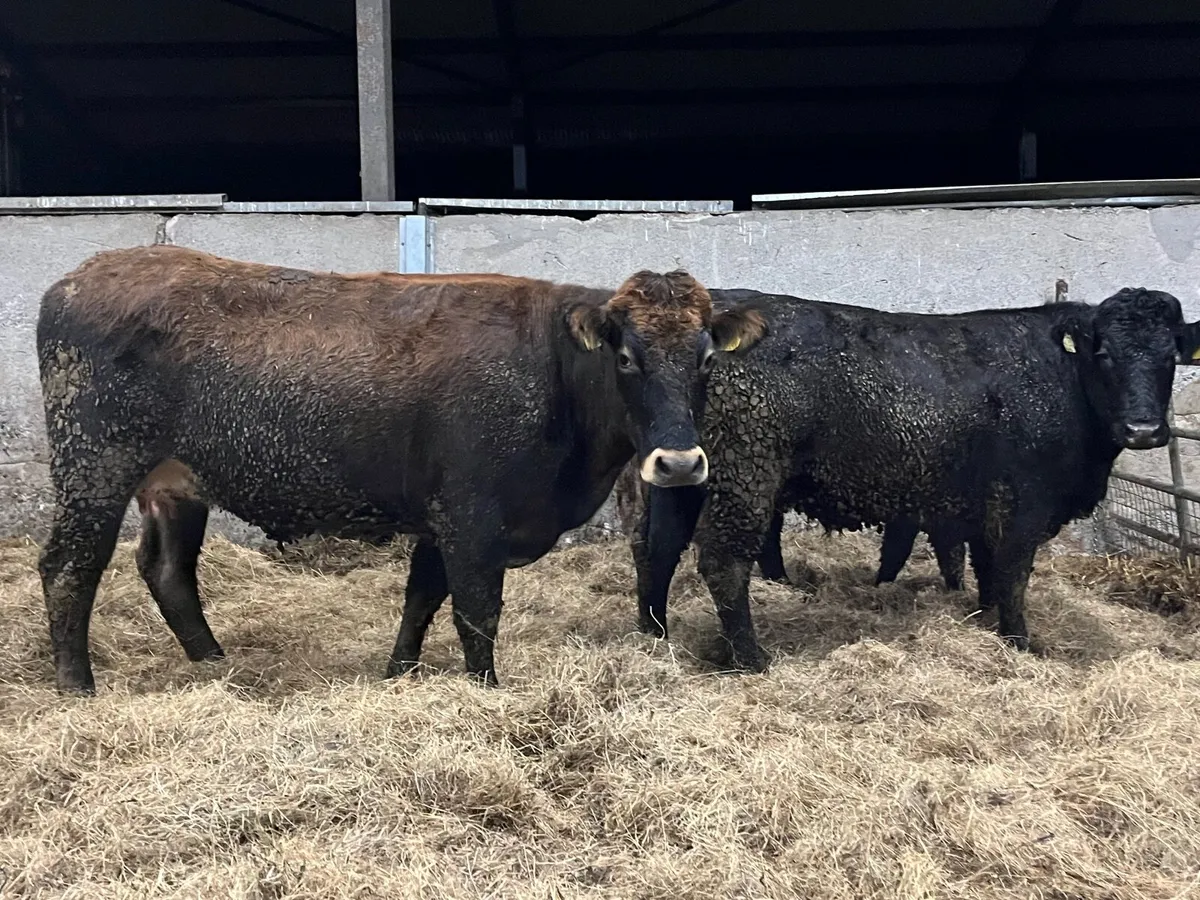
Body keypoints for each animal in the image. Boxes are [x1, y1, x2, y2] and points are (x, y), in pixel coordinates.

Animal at [34, 245, 767, 695]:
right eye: (625, 358)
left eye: (706, 358)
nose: (679, 462)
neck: (553, 369)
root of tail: (80, 276)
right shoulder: (472, 518)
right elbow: (476, 611)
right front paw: (486, 689)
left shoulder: (440, 518)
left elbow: (421, 598)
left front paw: (398, 673)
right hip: (93, 468)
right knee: (69, 566)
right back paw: (77, 684)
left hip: (175, 484)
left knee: (167, 570)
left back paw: (214, 663)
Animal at [630, 286, 1200, 670]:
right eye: (1104, 354)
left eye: (1171, 355)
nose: (1144, 430)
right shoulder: (1024, 501)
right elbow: (1014, 573)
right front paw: (1019, 643)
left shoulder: (983, 501)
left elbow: (989, 569)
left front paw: (983, 620)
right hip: (746, 472)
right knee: (724, 560)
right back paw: (752, 658)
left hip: (681, 476)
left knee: (654, 547)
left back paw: (653, 633)